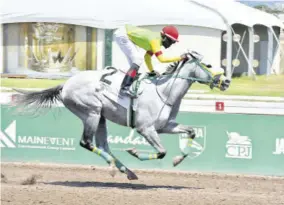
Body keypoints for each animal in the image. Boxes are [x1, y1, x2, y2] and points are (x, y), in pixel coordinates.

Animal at [12, 52, 232, 180]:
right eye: (209, 65)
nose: (227, 82)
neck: (164, 92)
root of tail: (66, 84)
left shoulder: (165, 126)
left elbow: (191, 132)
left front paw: (178, 160)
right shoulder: (145, 128)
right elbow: (161, 152)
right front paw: (134, 151)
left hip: (100, 117)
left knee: (101, 144)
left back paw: (126, 170)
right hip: (91, 112)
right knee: (86, 142)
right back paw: (113, 167)